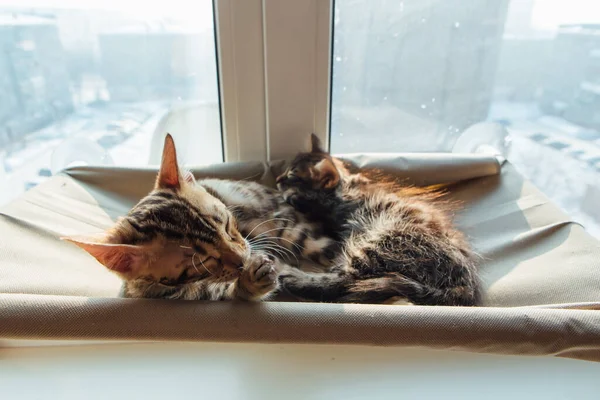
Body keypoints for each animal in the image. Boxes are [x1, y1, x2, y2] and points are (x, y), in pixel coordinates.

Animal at [276, 134, 482, 306]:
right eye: (285, 172)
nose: (277, 179)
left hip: (387, 240)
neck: (346, 190)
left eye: (290, 176)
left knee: (346, 282)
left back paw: (293, 278)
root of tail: (465, 287)